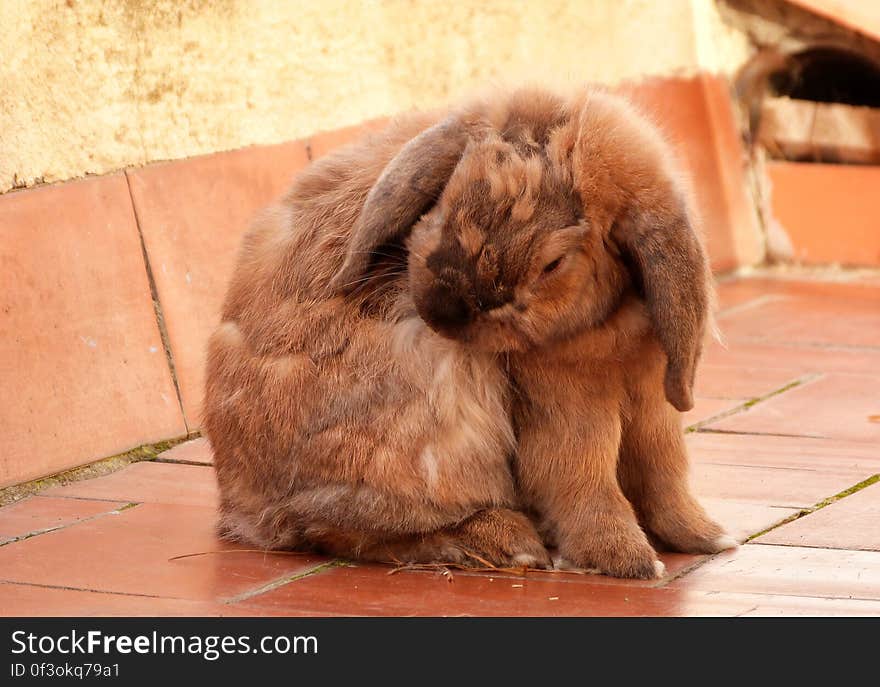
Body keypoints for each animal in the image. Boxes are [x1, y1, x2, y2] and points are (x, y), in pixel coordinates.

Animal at [206, 86, 736, 580]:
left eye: (553, 263)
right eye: (447, 198)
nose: (444, 312)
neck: (606, 327)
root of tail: (240, 504)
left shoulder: (652, 401)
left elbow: (664, 474)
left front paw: (705, 538)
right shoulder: (566, 402)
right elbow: (582, 476)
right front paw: (629, 561)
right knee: (340, 527)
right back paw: (509, 543)